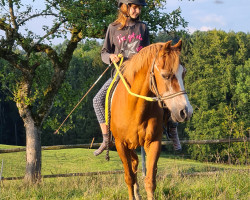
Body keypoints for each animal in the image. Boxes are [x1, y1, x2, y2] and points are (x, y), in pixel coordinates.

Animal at [110, 39, 193, 199]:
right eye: (166, 75)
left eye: (184, 73)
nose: (186, 112)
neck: (134, 108)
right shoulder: (120, 144)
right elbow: (129, 178)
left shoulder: (153, 143)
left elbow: (150, 181)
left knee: (136, 163)